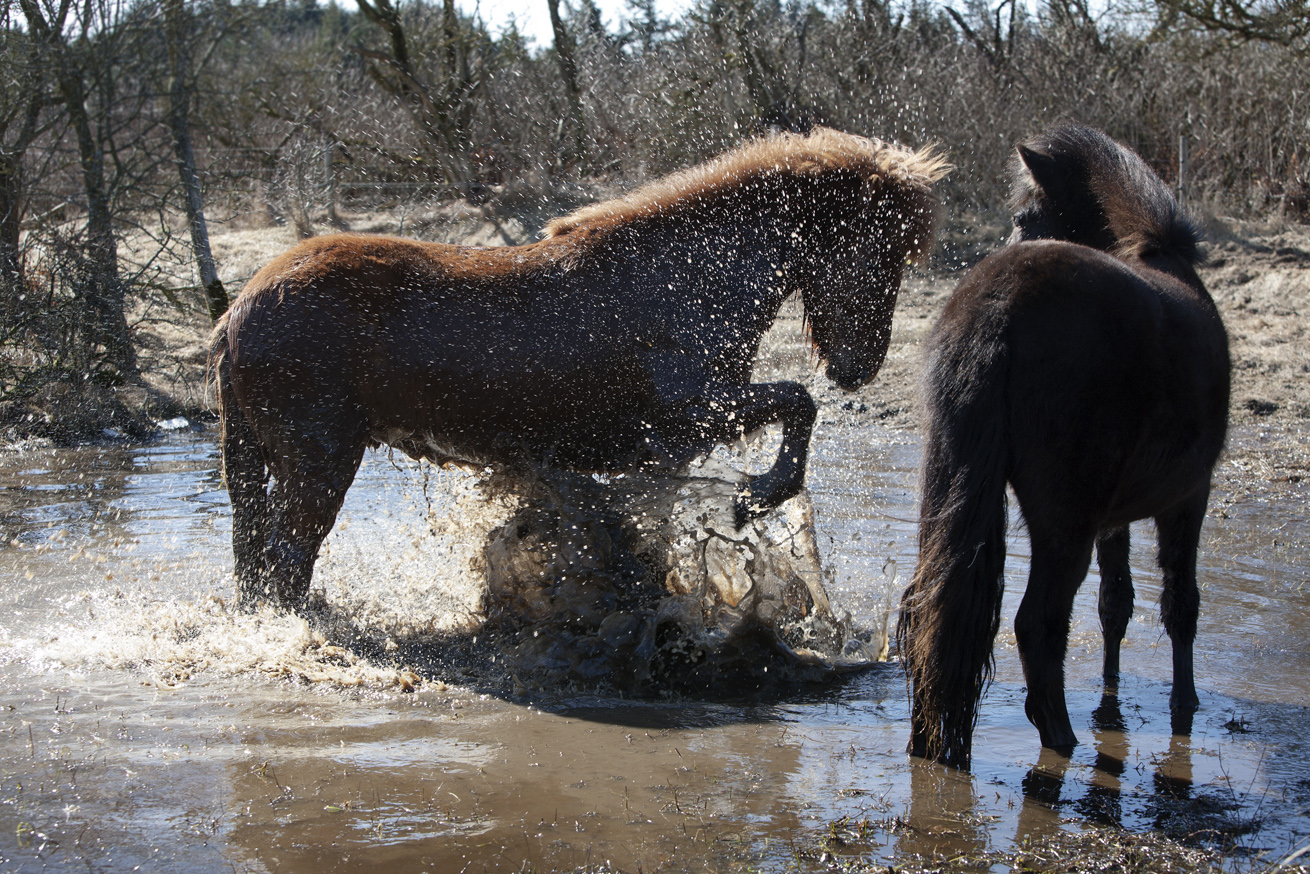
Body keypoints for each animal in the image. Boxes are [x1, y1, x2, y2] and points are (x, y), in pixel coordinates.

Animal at [212, 128, 953, 608]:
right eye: (883, 249)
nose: (862, 368)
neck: (690, 275)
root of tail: (239, 311)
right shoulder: (690, 413)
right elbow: (799, 401)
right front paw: (758, 494)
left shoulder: (666, 448)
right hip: (319, 463)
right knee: (285, 567)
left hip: (259, 462)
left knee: (258, 566)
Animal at [896, 121, 1231, 765]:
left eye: (1026, 216)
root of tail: (1000, 302)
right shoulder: (1188, 500)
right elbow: (1181, 604)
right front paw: (1185, 704)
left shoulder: (1114, 520)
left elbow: (1116, 605)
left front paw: (1113, 693)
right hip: (1064, 525)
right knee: (1037, 625)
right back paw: (1060, 737)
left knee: (931, 609)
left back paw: (930, 741)